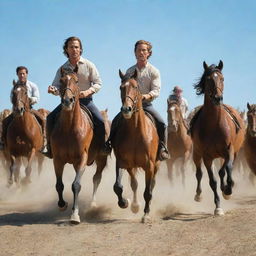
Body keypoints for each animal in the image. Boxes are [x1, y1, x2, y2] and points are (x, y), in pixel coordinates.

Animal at [50, 67, 107, 224]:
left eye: (76, 80)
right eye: (61, 81)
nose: (67, 100)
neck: (69, 128)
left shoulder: (82, 158)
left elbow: (76, 185)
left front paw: (75, 214)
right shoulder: (58, 160)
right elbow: (59, 184)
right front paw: (62, 204)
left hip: (101, 159)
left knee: (96, 178)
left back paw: (93, 204)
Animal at [112, 69, 160, 223]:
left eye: (136, 87)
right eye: (121, 87)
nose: (126, 109)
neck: (135, 133)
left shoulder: (149, 165)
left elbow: (147, 192)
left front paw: (146, 214)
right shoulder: (121, 162)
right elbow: (118, 186)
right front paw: (124, 203)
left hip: (156, 165)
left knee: (151, 185)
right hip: (130, 167)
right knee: (134, 183)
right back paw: (134, 205)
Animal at [191, 61, 245, 215]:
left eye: (222, 78)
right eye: (209, 79)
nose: (217, 98)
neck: (214, 124)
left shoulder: (229, 151)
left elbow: (227, 169)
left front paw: (228, 190)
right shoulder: (207, 157)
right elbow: (212, 181)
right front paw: (218, 207)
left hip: (232, 153)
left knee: (223, 170)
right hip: (196, 154)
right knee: (199, 173)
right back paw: (198, 195)